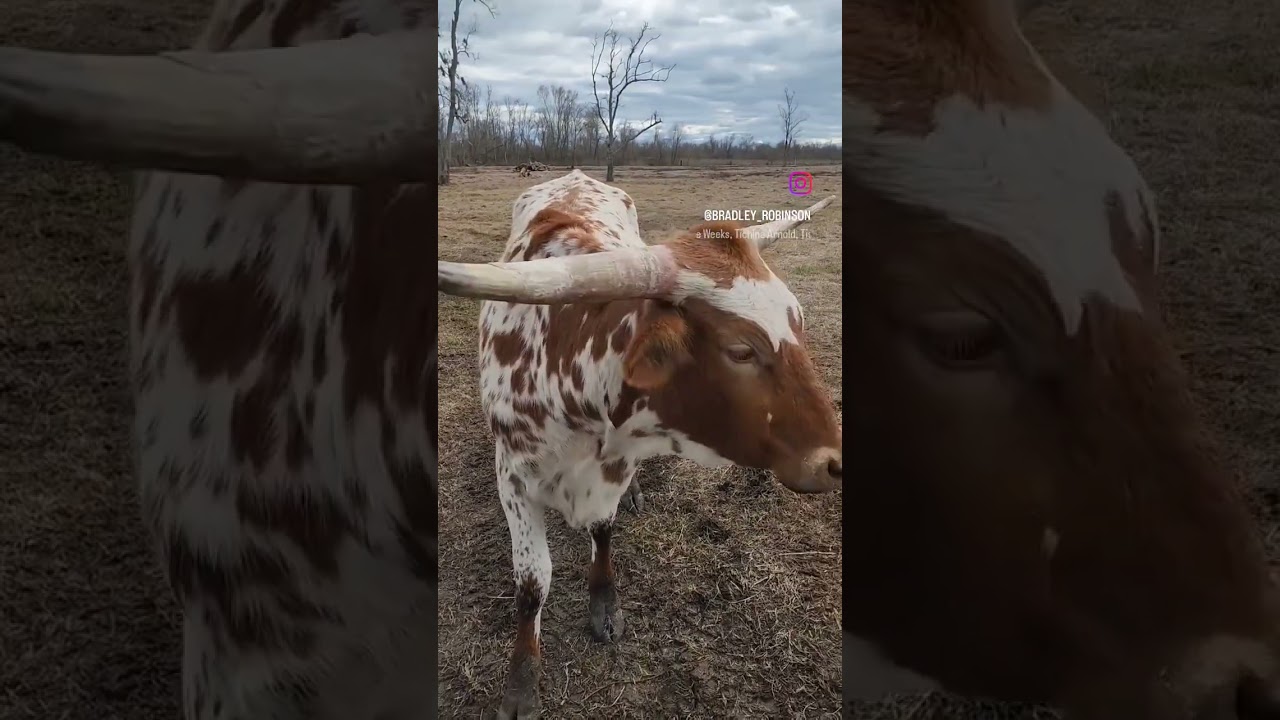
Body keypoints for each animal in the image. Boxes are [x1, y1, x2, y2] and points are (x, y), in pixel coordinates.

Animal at [436, 169, 843, 717]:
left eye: (797, 318)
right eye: (740, 350)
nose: (834, 463)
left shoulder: (616, 463)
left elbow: (603, 529)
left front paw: (604, 601)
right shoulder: (514, 478)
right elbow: (533, 584)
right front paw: (522, 681)